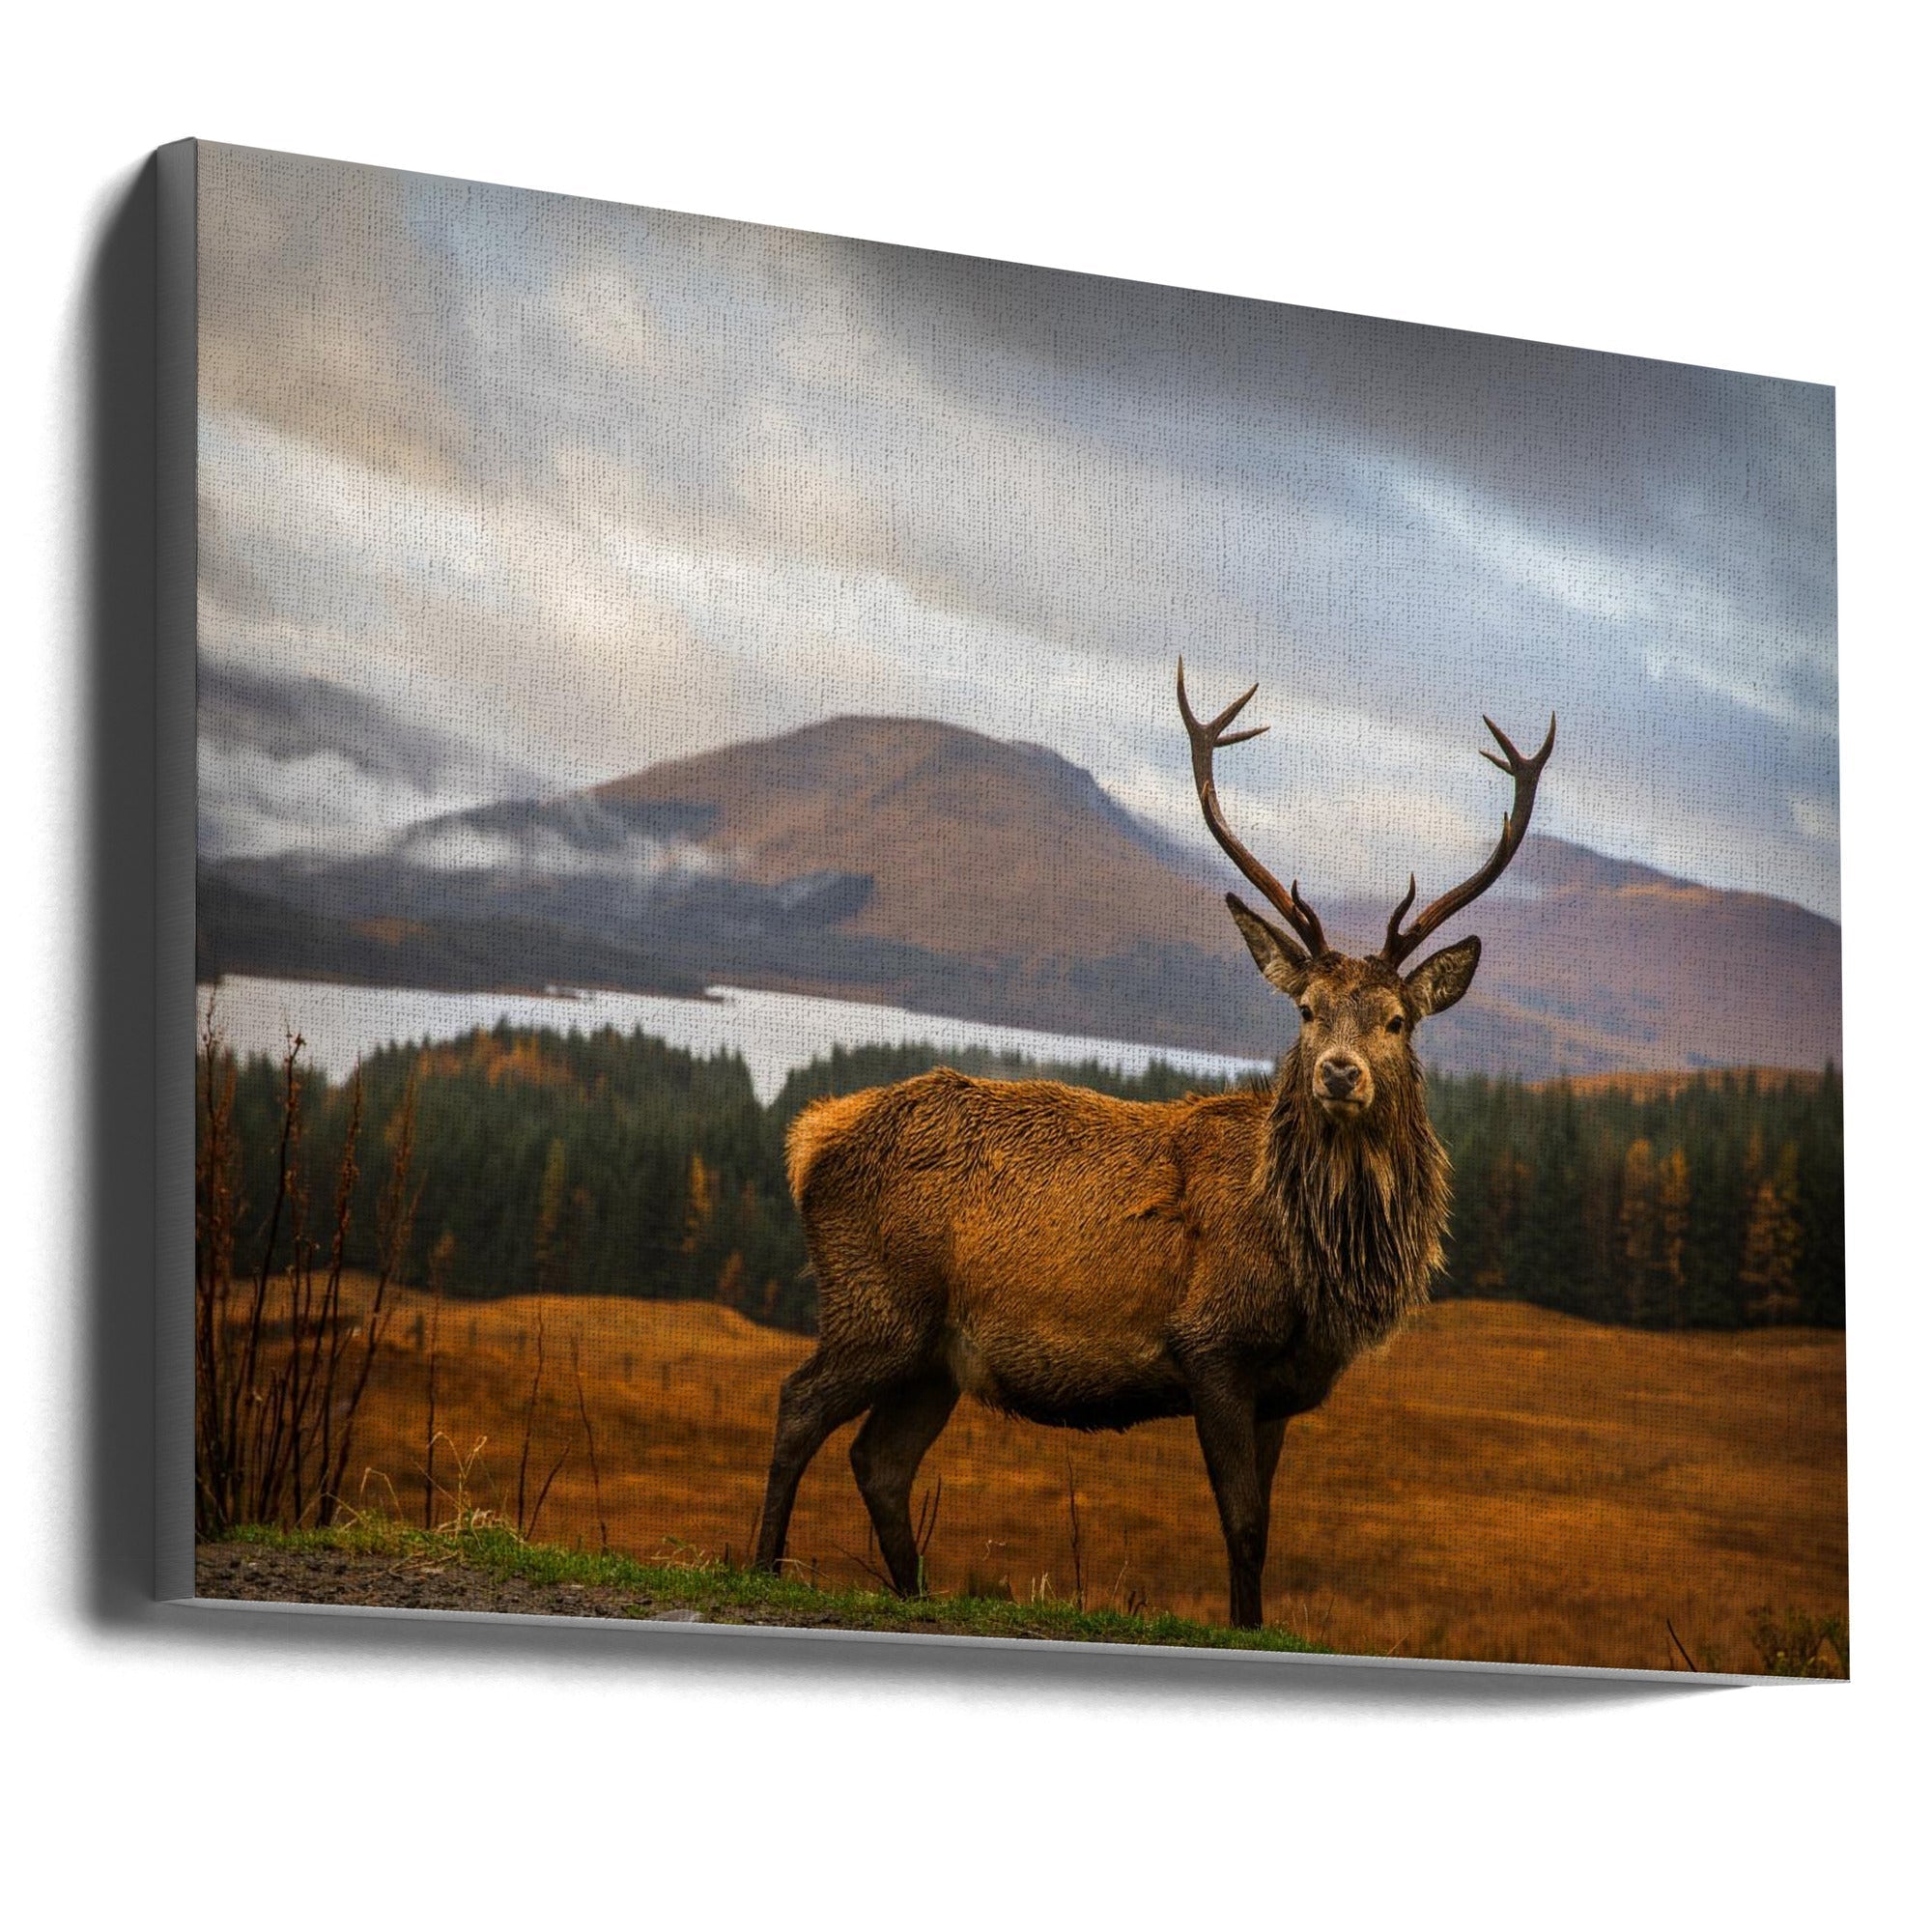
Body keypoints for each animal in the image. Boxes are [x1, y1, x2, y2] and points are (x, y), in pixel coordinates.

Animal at [752, 662, 1555, 1629]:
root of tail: (811, 1138)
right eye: (1307, 1010)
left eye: (1398, 1020)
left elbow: (1264, 1526)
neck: (1315, 1269)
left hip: (934, 1356)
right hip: (876, 1303)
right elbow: (1242, 1522)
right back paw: (760, 1567)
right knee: (798, 1404)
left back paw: (912, 1593)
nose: (1338, 1073)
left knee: (880, 1461)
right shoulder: (1210, 1346)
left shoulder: (1282, 1389)